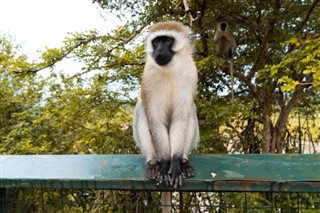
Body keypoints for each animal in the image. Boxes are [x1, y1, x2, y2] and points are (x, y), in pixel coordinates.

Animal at [132, 20, 198, 190]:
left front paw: (174, 163)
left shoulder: (191, 72)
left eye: (168, 40)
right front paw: (165, 163)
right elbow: (155, 120)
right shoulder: (148, 76)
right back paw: (153, 163)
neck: (170, 68)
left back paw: (184, 161)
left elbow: (181, 118)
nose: (159, 50)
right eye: (156, 41)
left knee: (190, 110)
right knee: (142, 109)